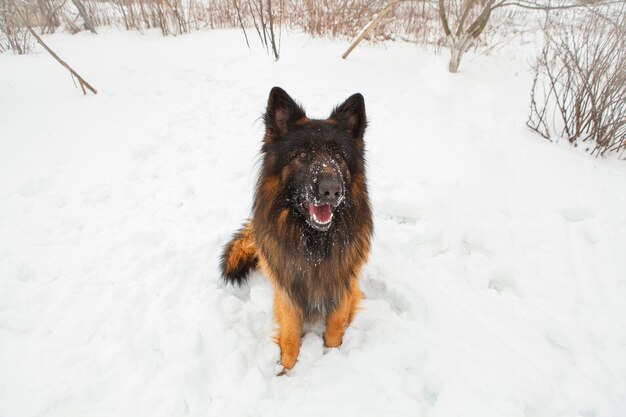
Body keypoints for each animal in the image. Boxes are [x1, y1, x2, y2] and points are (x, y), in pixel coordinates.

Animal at [219, 88, 370, 374]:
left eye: (339, 156)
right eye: (302, 156)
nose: (331, 190)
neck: (315, 246)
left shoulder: (345, 287)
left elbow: (335, 329)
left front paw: (331, 356)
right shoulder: (286, 293)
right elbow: (289, 336)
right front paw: (286, 370)